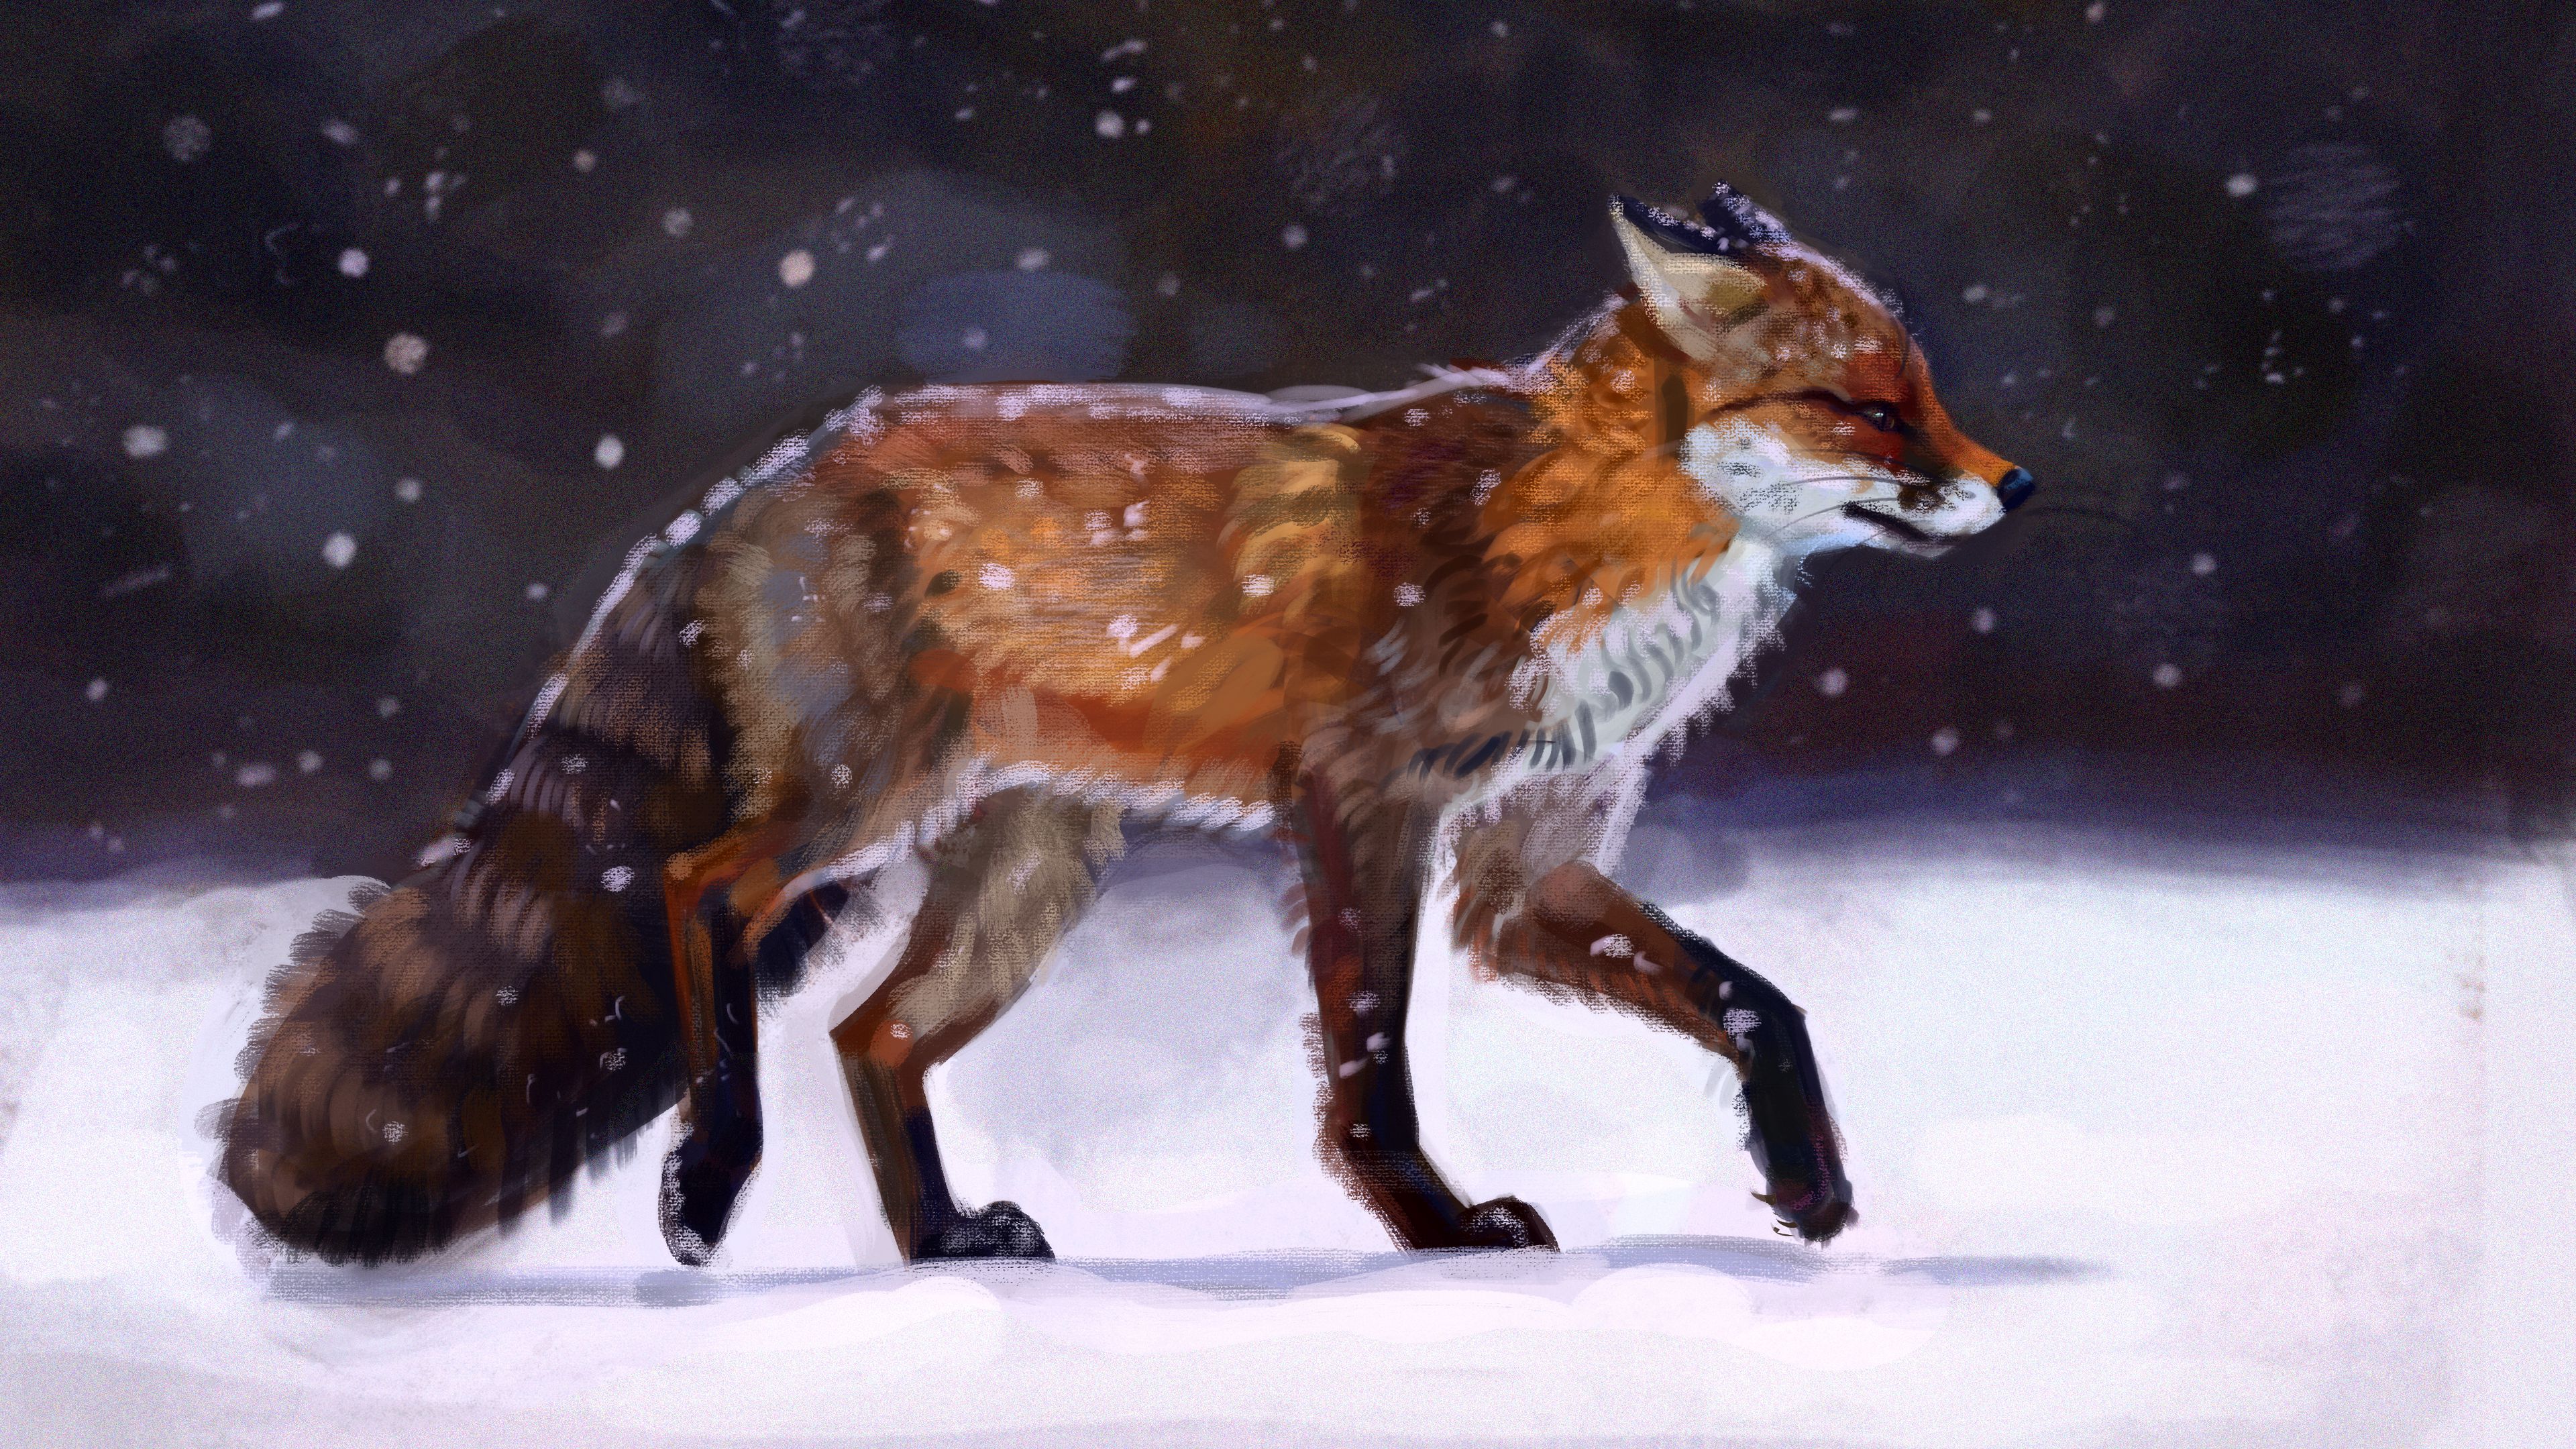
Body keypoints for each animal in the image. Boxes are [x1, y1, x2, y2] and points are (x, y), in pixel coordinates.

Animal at [217, 184, 2033, 1268]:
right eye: (1868, 407)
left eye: (1927, 392)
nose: (2012, 485)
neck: (1579, 527)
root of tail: (751, 486)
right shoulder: (1364, 804)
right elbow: (1370, 1066)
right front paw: (1431, 1225)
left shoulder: (1527, 868)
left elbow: (1757, 1002)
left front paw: (1808, 1181)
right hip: (852, 809)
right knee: (695, 893)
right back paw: (710, 1172)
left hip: (1027, 880)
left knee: (868, 1037)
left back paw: (940, 1243)